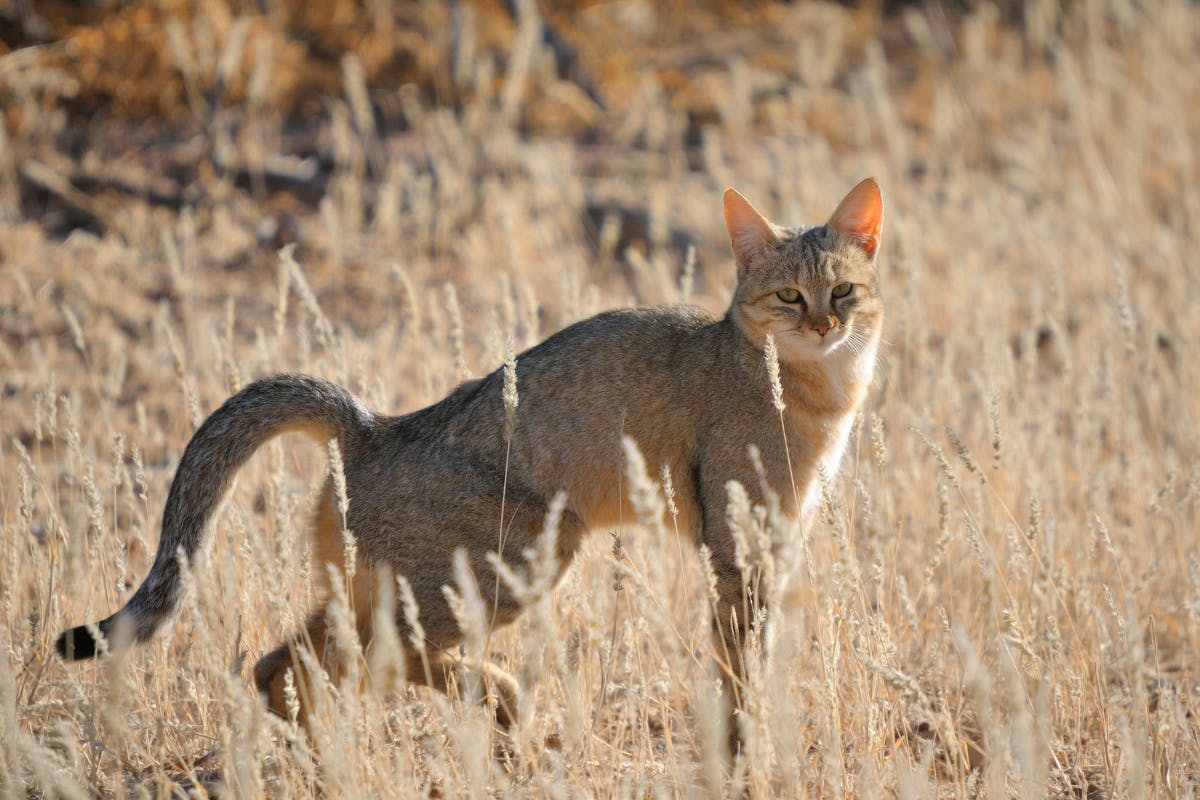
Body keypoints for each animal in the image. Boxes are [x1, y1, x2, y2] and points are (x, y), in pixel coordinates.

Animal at [56, 178, 883, 748]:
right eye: (789, 296)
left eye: (843, 289)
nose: (824, 324)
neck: (819, 398)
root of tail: (374, 426)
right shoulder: (736, 550)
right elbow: (739, 665)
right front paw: (749, 746)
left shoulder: (774, 544)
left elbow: (751, 660)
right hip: (524, 559)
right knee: (368, 657)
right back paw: (498, 696)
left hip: (390, 591)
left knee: (280, 664)